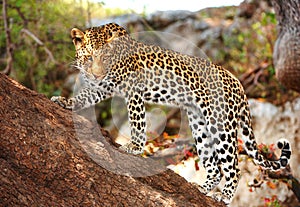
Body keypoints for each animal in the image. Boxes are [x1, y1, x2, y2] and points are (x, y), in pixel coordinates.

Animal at [51, 22, 290, 204]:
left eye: (106, 58)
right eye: (89, 58)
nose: (96, 75)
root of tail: (237, 81)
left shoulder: (133, 90)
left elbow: (137, 121)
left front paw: (135, 147)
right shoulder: (104, 86)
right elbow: (86, 95)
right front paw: (66, 101)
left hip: (220, 125)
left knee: (233, 166)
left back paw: (224, 196)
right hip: (200, 124)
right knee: (214, 166)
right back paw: (202, 188)